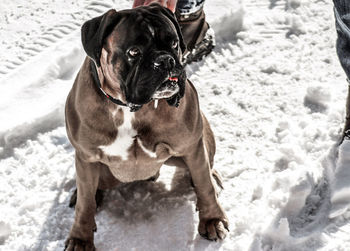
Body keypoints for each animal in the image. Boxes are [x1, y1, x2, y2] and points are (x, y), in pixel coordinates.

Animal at [64, 3, 228, 249]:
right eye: (134, 52)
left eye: (174, 43)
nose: (166, 60)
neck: (129, 110)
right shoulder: (87, 156)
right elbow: (85, 204)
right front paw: (80, 238)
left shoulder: (192, 146)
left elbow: (204, 184)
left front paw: (212, 219)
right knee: (89, 190)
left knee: (206, 170)